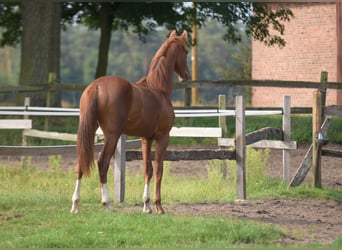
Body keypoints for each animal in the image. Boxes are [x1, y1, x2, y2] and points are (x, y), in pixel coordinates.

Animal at [71, 30, 191, 215]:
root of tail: (96, 87)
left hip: (88, 131)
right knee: (102, 163)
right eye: (186, 51)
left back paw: (75, 204)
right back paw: (107, 203)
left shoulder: (146, 138)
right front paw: (158, 206)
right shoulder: (162, 137)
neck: (158, 89)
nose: (186, 75)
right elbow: (159, 169)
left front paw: (146, 205)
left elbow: (147, 169)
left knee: (80, 163)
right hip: (112, 136)